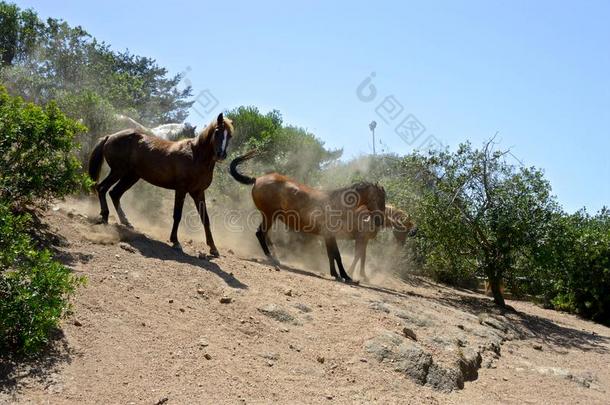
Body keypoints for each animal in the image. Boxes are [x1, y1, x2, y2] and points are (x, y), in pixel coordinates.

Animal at [88, 112, 233, 256]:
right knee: (102, 188)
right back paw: (105, 217)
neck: (195, 156)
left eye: (230, 135)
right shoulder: (181, 190)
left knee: (114, 193)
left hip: (131, 176)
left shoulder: (198, 192)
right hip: (118, 171)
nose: (221, 155)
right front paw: (175, 241)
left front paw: (213, 248)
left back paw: (126, 222)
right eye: (217, 132)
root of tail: (109, 137)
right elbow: (177, 215)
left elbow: (205, 218)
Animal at [228, 151, 384, 280]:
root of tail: (257, 179)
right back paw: (272, 260)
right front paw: (345, 276)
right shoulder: (329, 234)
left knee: (266, 235)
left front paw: (336, 274)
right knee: (260, 234)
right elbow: (337, 255)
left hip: (270, 217)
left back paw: (276, 259)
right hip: (269, 215)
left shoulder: (328, 235)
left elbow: (331, 254)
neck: (336, 202)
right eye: (379, 198)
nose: (379, 221)